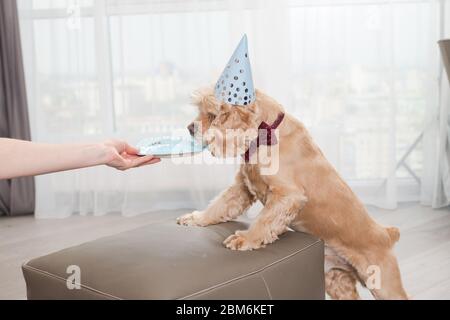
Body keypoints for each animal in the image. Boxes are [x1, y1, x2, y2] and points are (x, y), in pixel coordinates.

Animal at [177, 85, 408, 300]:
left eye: (212, 114)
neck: (266, 135)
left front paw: (246, 239)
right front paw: (197, 218)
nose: (189, 128)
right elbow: (220, 205)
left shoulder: (287, 196)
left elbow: (263, 221)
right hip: (336, 280)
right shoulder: (242, 186)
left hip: (384, 284)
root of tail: (387, 234)